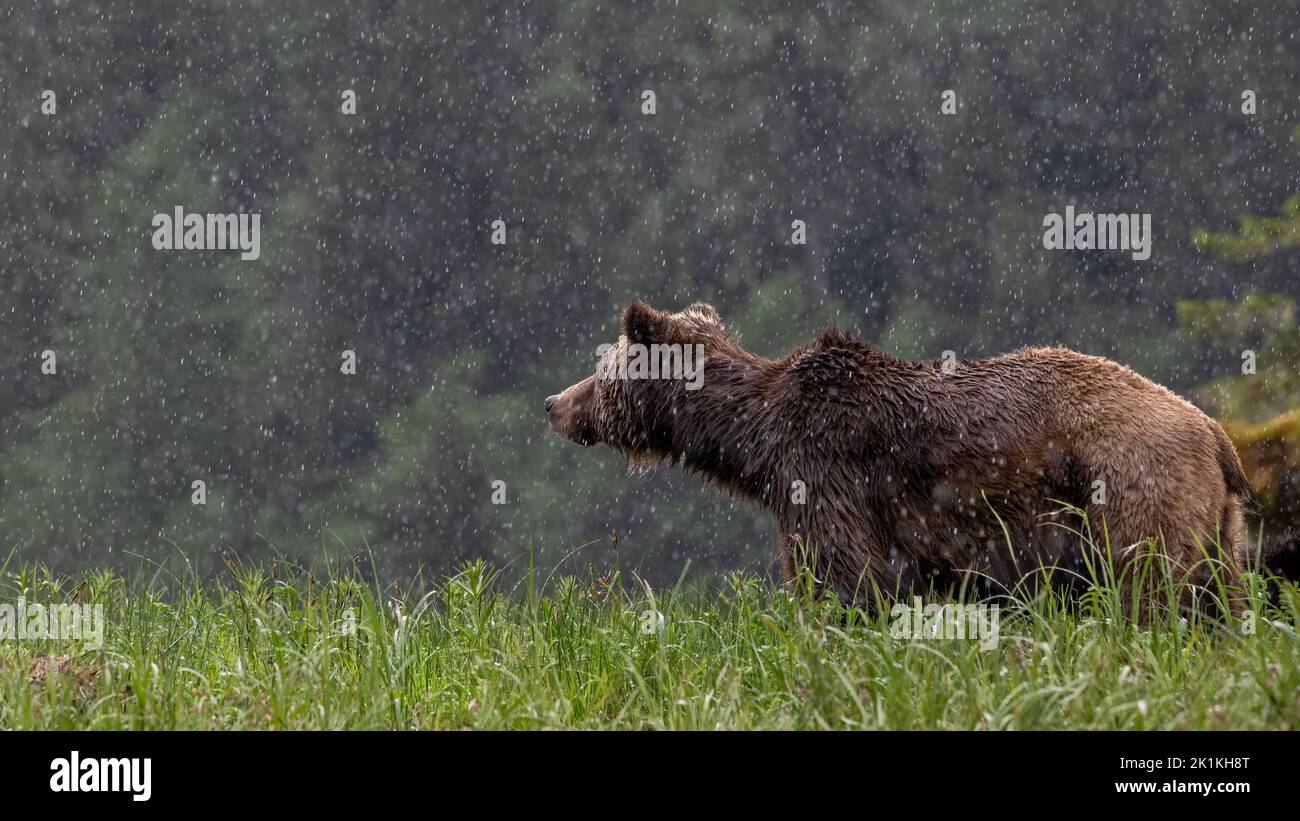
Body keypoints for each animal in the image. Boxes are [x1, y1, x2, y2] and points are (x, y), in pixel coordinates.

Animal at [551, 301, 1300, 610]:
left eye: (603, 364)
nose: (557, 404)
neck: (756, 444)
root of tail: (1214, 432)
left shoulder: (824, 474)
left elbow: (844, 581)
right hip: (1221, 527)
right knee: (1220, 601)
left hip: (1127, 487)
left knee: (1150, 589)